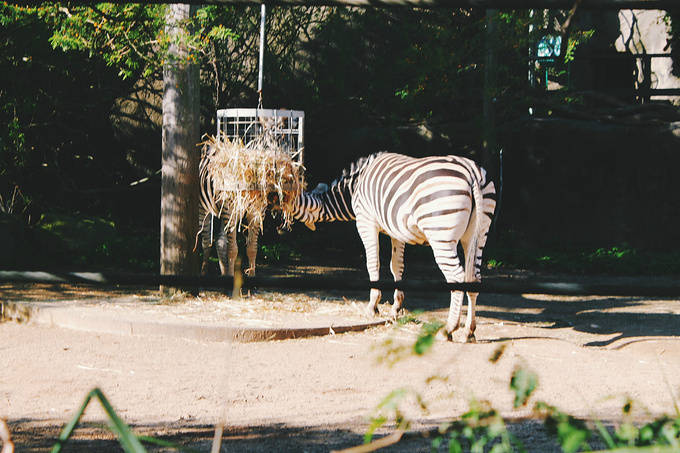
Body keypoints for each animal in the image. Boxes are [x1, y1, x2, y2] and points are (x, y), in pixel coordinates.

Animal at [286, 150, 494, 340]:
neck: (354, 186)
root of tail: (472, 173)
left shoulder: (366, 222)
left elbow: (373, 264)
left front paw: (373, 306)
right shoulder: (397, 231)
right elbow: (396, 266)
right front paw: (396, 307)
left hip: (441, 233)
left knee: (457, 277)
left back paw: (449, 329)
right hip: (478, 234)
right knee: (474, 277)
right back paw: (469, 331)